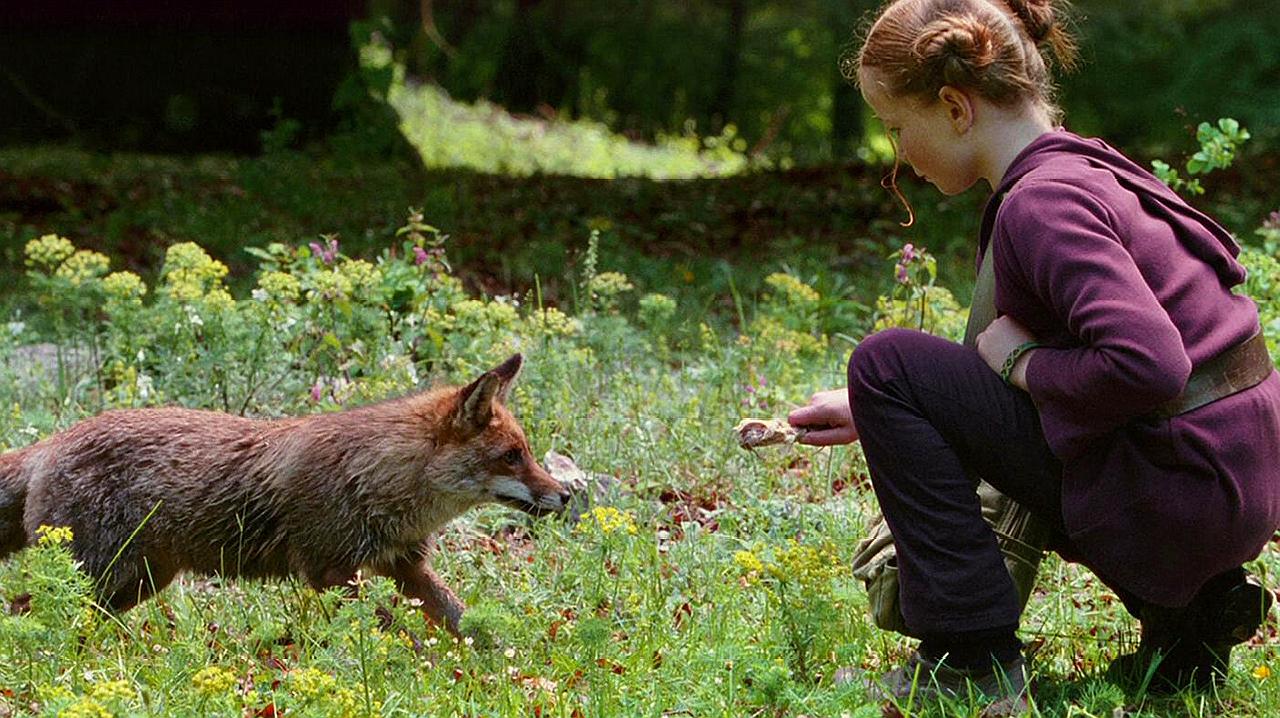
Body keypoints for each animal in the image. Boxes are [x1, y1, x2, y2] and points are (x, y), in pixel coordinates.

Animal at [0, 353, 565, 632]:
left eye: (527, 452)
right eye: (511, 456)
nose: (562, 496)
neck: (377, 478)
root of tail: (49, 443)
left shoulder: (405, 563)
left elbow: (468, 625)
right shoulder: (330, 572)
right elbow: (391, 628)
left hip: (135, 585)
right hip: (99, 576)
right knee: (27, 609)